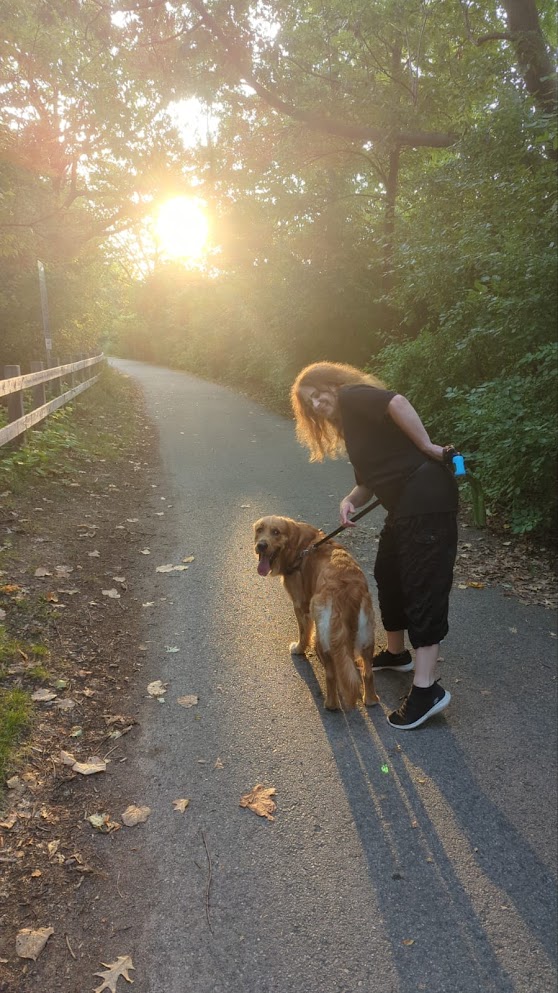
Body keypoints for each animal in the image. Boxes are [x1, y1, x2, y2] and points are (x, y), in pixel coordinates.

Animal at [253, 515, 379, 711]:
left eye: (276, 532)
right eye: (259, 530)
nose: (261, 545)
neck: (299, 546)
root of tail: (348, 589)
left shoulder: (300, 604)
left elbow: (303, 633)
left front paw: (299, 648)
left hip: (324, 635)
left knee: (332, 675)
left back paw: (330, 704)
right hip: (366, 637)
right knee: (367, 673)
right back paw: (371, 699)